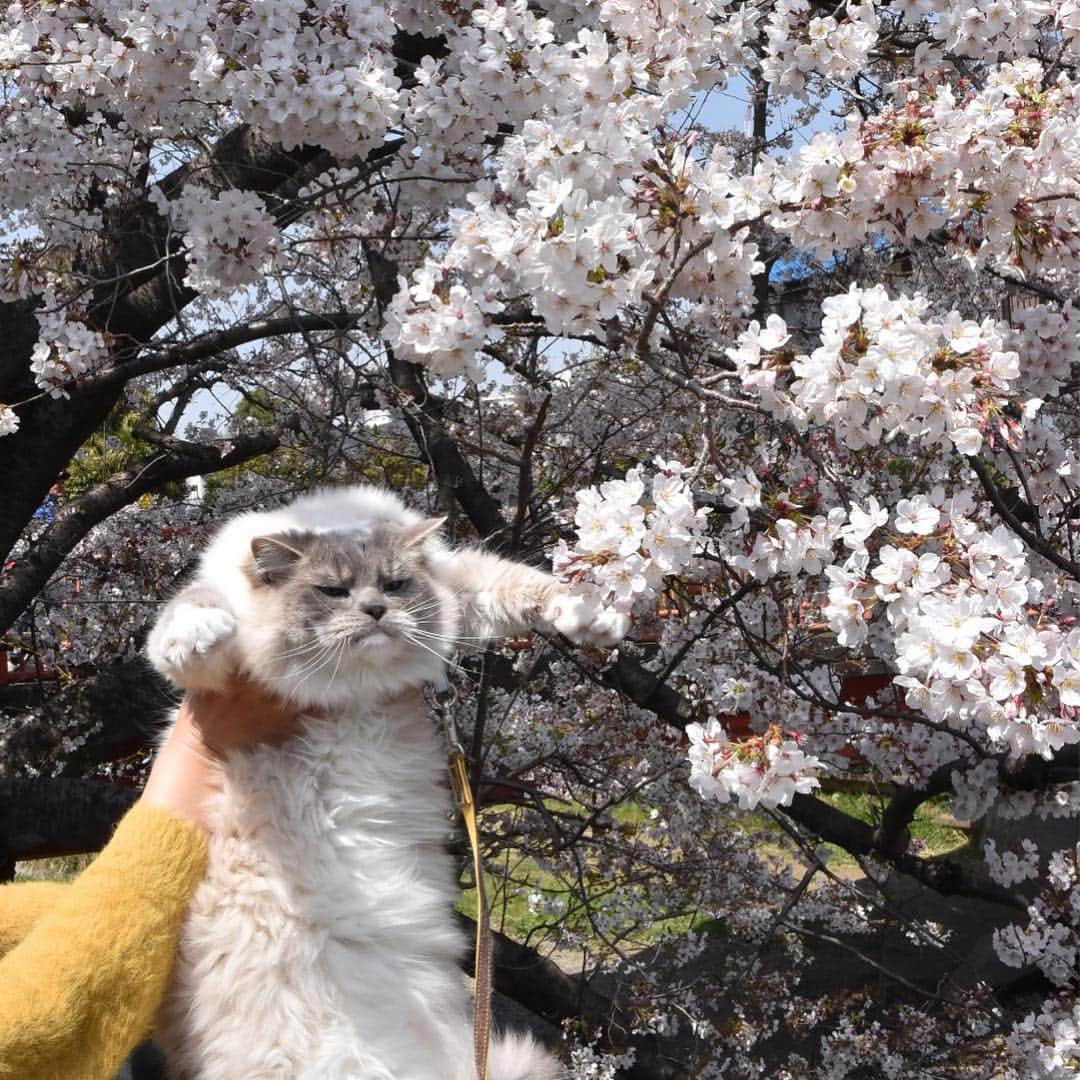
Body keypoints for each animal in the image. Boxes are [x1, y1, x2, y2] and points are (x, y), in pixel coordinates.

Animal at [143, 488, 626, 1080]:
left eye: (394, 585)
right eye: (333, 591)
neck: (356, 691)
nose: (375, 611)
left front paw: (590, 616)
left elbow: (520, 585)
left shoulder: (460, 587)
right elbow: (191, 615)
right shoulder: (221, 669)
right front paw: (197, 634)